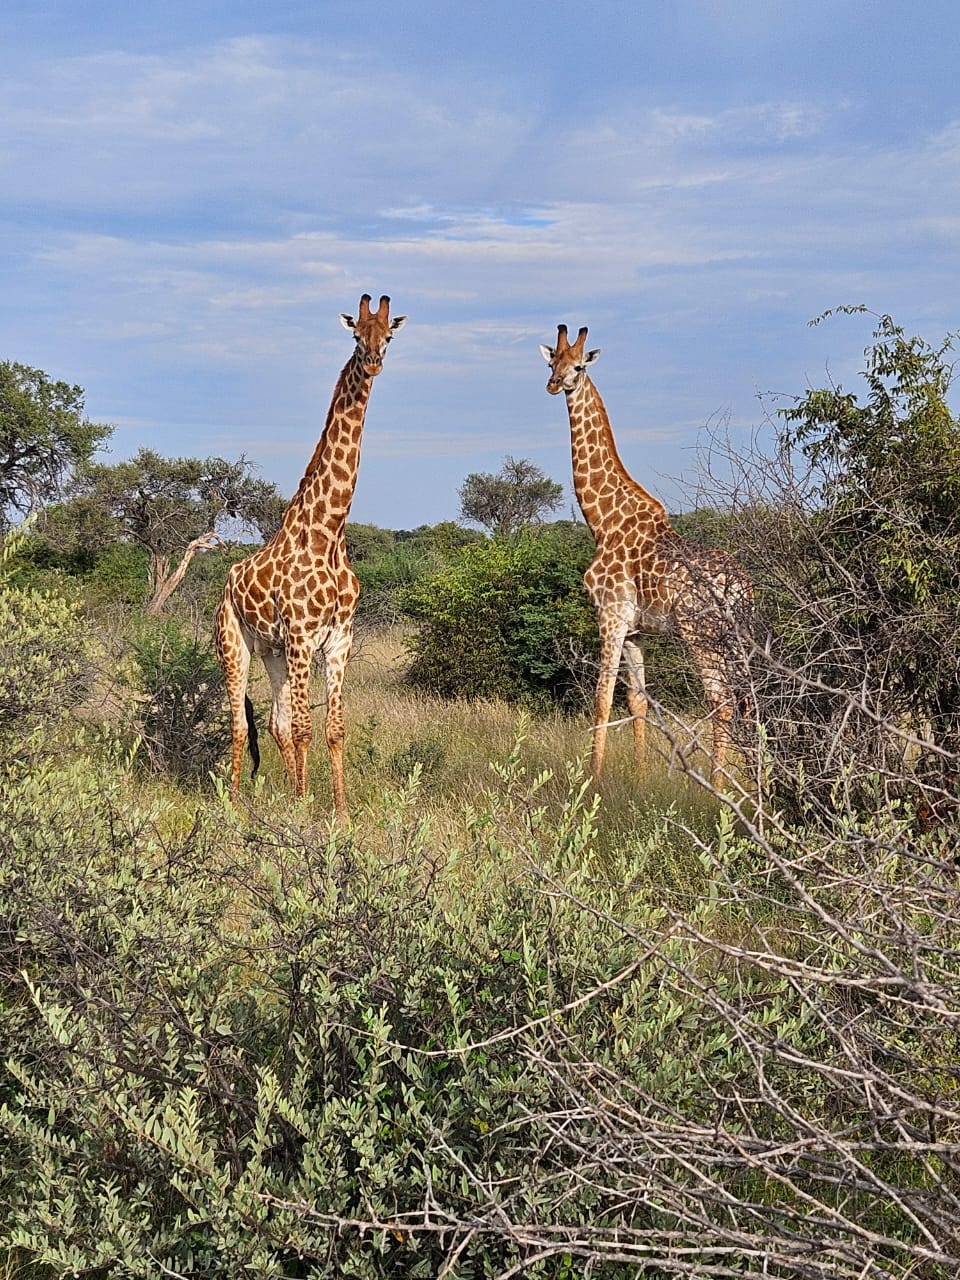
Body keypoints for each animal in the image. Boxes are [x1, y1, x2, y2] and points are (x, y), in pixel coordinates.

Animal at [215, 293, 406, 818]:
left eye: (389, 334)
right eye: (357, 335)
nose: (374, 361)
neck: (329, 531)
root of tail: (226, 583)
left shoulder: (338, 640)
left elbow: (333, 729)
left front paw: (336, 810)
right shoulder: (303, 637)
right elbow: (304, 729)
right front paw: (306, 808)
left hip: (272, 652)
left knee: (273, 723)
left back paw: (284, 791)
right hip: (234, 644)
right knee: (240, 722)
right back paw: (235, 801)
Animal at [540, 323, 752, 787]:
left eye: (579, 367)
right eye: (552, 363)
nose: (554, 385)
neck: (602, 519)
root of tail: (741, 588)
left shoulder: (611, 614)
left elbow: (601, 698)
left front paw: (592, 779)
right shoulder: (636, 629)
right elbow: (637, 700)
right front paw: (638, 776)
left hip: (700, 633)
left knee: (722, 701)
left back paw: (717, 787)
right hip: (734, 638)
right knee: (747, 699)